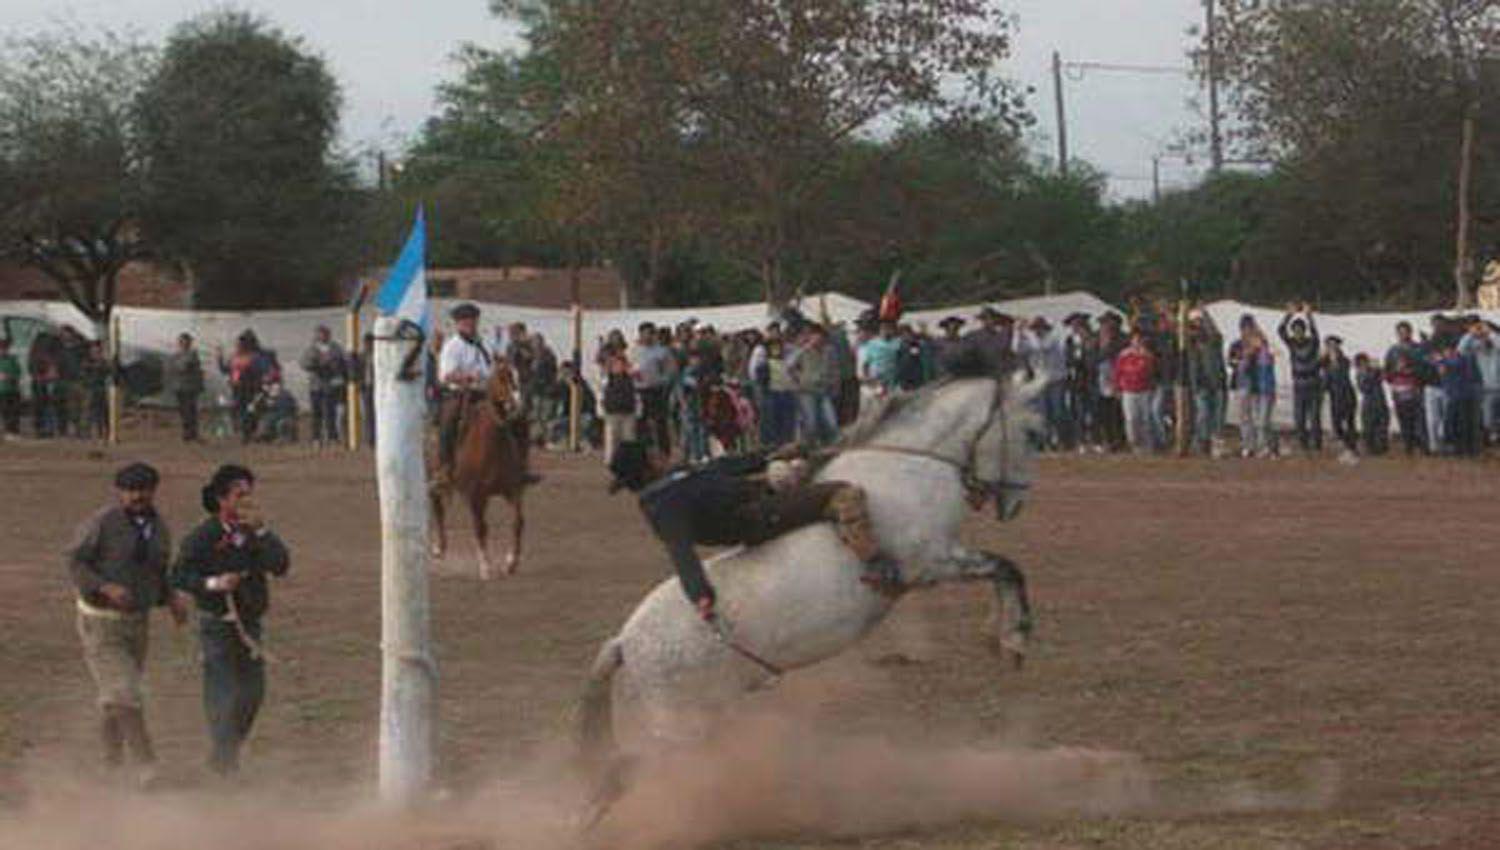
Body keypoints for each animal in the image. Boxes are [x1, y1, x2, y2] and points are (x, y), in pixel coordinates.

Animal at [429, 359, 534, 578]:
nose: (519, 408)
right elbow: (480, 527)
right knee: (438, 508)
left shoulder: (513, 490)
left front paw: (511, 562)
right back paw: (439, 547)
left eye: (523, 374)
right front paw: (485, 566)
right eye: (502, 376)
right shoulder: (476, 495)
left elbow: (518, 522)